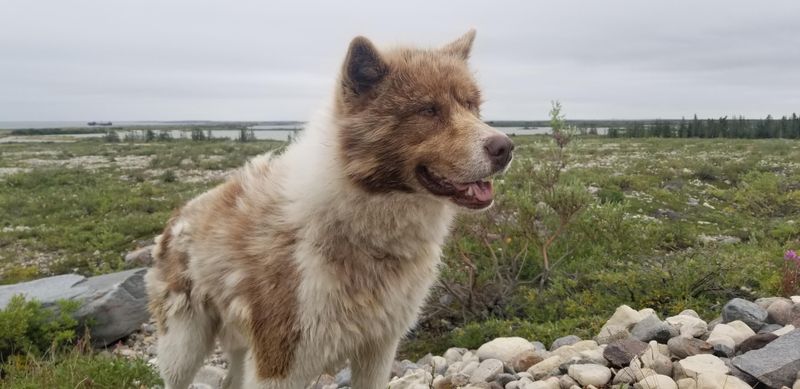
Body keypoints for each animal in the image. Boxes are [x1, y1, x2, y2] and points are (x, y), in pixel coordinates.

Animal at [145, 31, 512, 388]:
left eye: (471, 106)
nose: (505, 147)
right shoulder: (279, 364)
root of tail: (180, 214)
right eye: (428, 110)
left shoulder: (377, 349)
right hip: (183, 348)